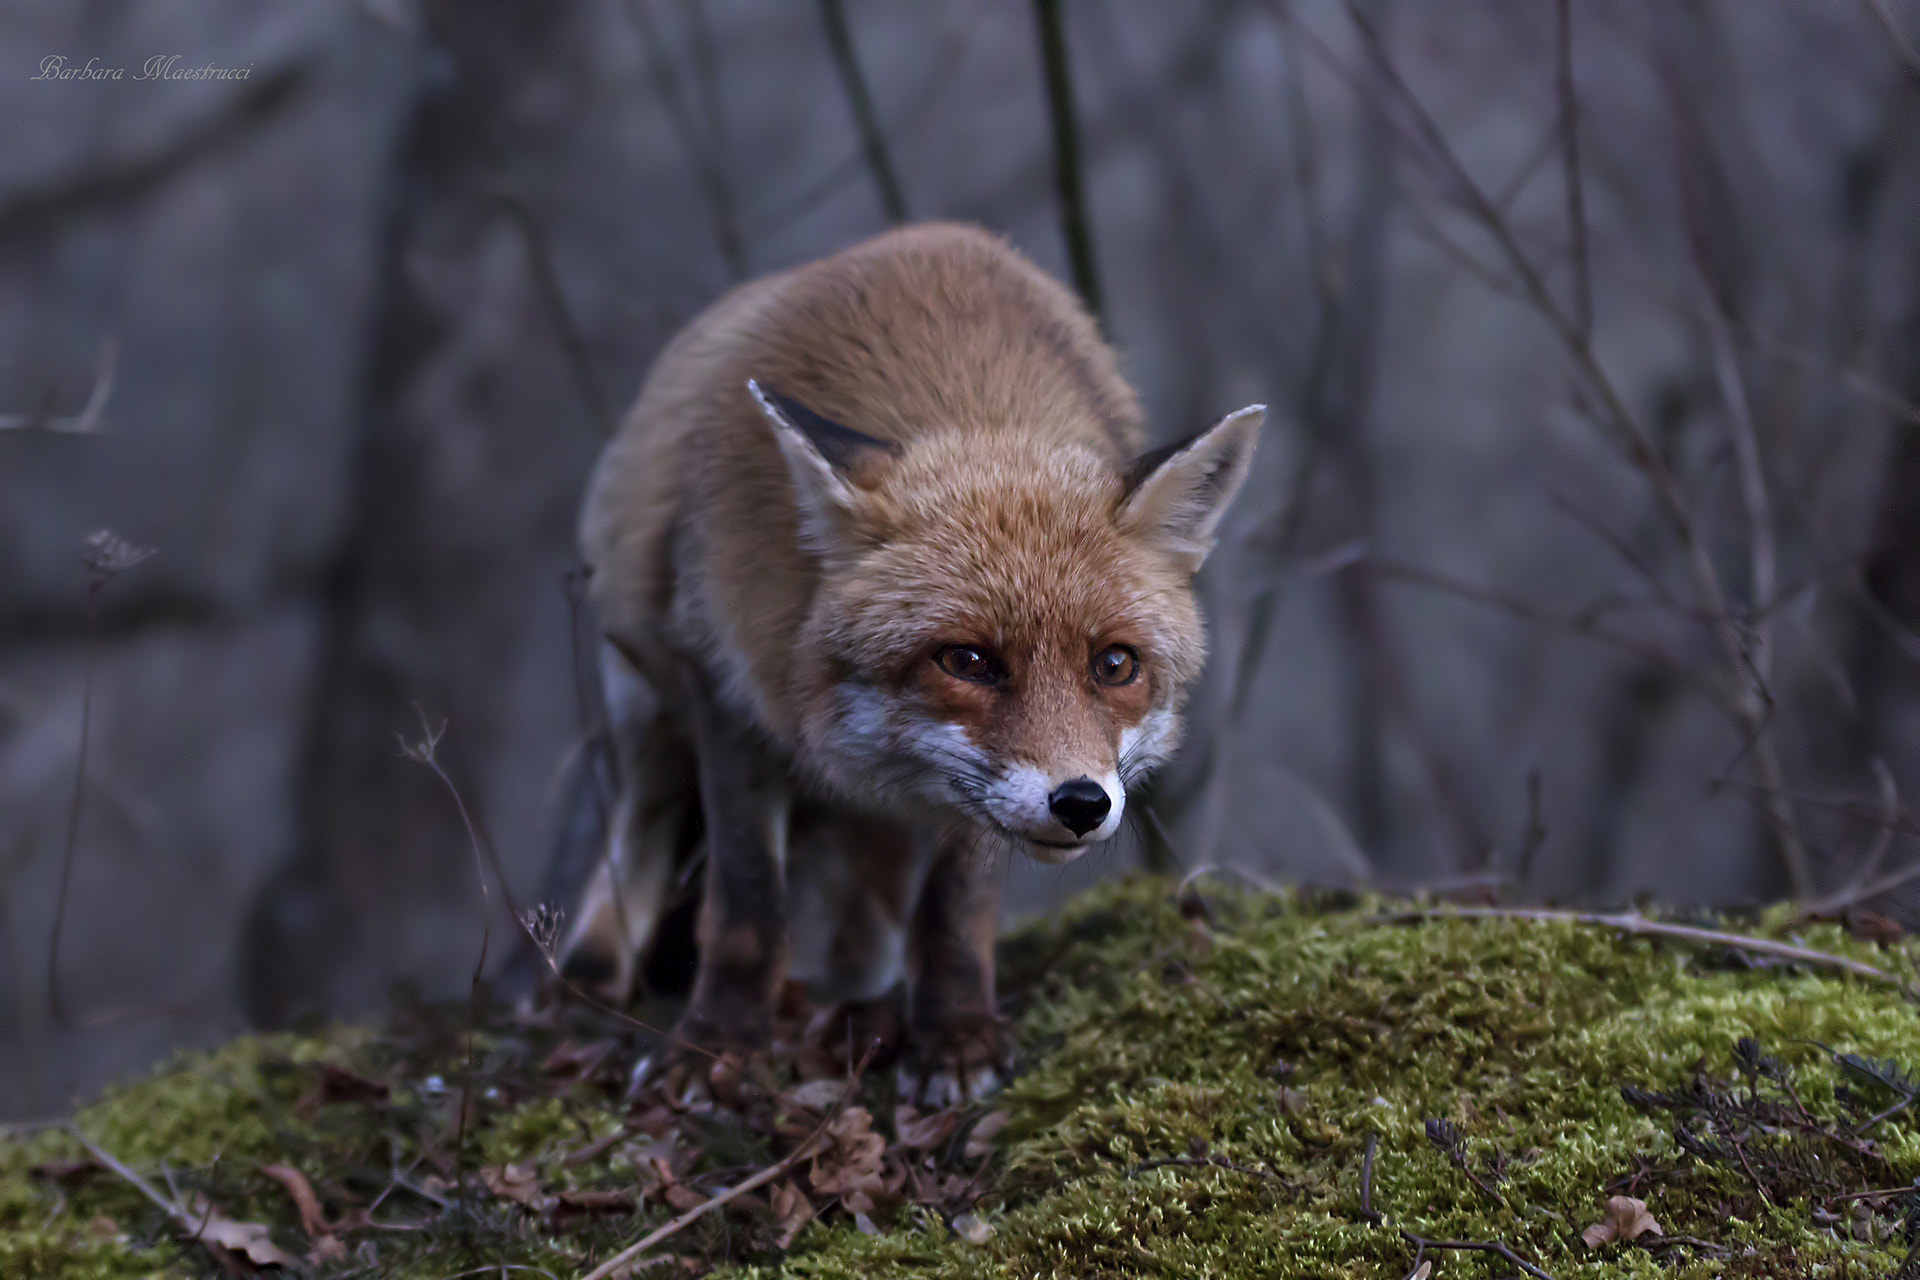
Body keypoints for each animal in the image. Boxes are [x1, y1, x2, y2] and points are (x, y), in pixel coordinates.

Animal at [552, 222, 1261, 1101]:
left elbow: (951, 911)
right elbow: (748, 910)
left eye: (1115, 665)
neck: (961, 383)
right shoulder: (724, 685)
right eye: (966, 659)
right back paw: (589, 972)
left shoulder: (974, 802)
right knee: (640, 823)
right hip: (640, 696)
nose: (1081, 804)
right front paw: (719, 1044)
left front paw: (953, 1036)